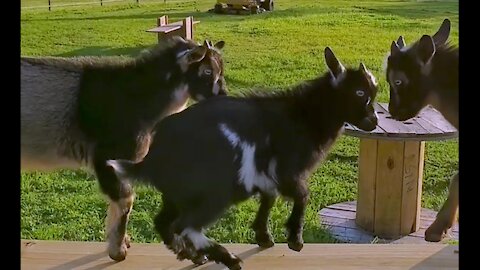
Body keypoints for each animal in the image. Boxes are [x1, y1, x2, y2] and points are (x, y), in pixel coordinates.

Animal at [20, 37, 227, 260]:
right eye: (207, 71)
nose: (224, 97)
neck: (135, 99)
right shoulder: (108, 159)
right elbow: (126, 202)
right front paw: (117, 251)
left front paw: (123, 242)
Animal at [108, 47, 378, 268]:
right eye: (359, 92)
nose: (373, 122)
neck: (303, 116)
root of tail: (153, 157)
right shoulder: (288, 171)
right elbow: (302, 196)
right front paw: (295, 240)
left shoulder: (265, 174)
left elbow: (269, 198)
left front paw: (264, 237)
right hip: (214, 191)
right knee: (186, 226)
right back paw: (228, 258)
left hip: (176, 194)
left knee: (164, 223)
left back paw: (191, 254)